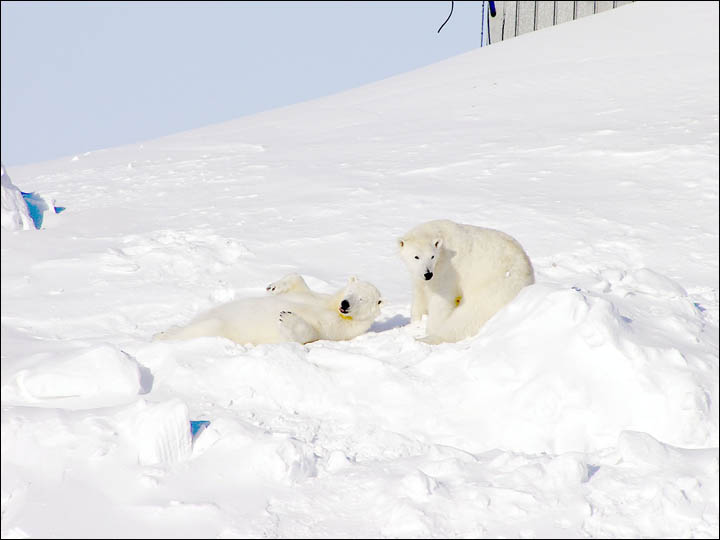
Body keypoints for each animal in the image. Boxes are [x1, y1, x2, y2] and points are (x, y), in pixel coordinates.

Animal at [155, 274, 386, 346]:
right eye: (351, 291)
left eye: (363, 299)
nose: (345, 304)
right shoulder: (318, 297)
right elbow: (299, 285)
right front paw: (274, 286)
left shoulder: (338, 330)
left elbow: (309, 333)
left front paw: (286, 317)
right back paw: (164, 331)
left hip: (220, 328)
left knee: (205, 328)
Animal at [396, 218, 532, 342]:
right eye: (416, 257)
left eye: (432, 256)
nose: (428, 274)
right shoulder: (419, 276)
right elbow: (419, 295)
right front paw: (415, 321)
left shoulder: (448, 271)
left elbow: (441, 299)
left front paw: (431, 327)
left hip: (494, 286)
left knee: (467, 317)